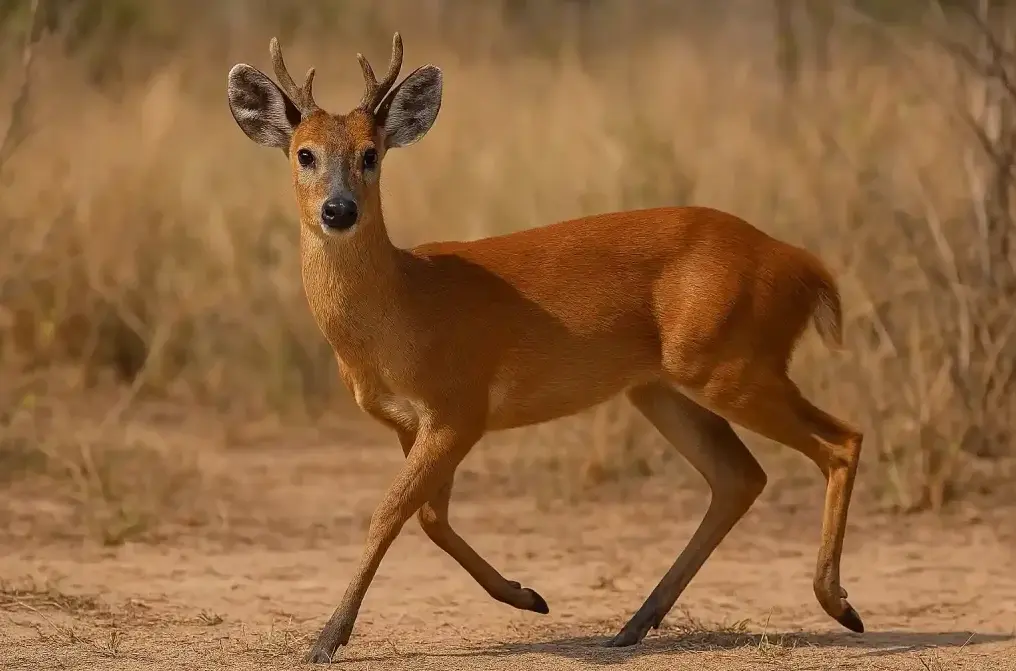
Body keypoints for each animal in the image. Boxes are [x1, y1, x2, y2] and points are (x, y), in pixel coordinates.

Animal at [226, 32, 865, 664]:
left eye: (370, 153)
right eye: (304, 154)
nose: (339, 210)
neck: (403, 306)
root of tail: (803, 267)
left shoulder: (459, 407)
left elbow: (390, 512)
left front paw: (326, 638)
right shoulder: (411, 421)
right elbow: (429, 515)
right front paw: (528, 597)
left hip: (731, 363)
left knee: (840, 441)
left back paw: (839, 604)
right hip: (661, 387)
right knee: (739, 476)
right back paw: (635, 624)